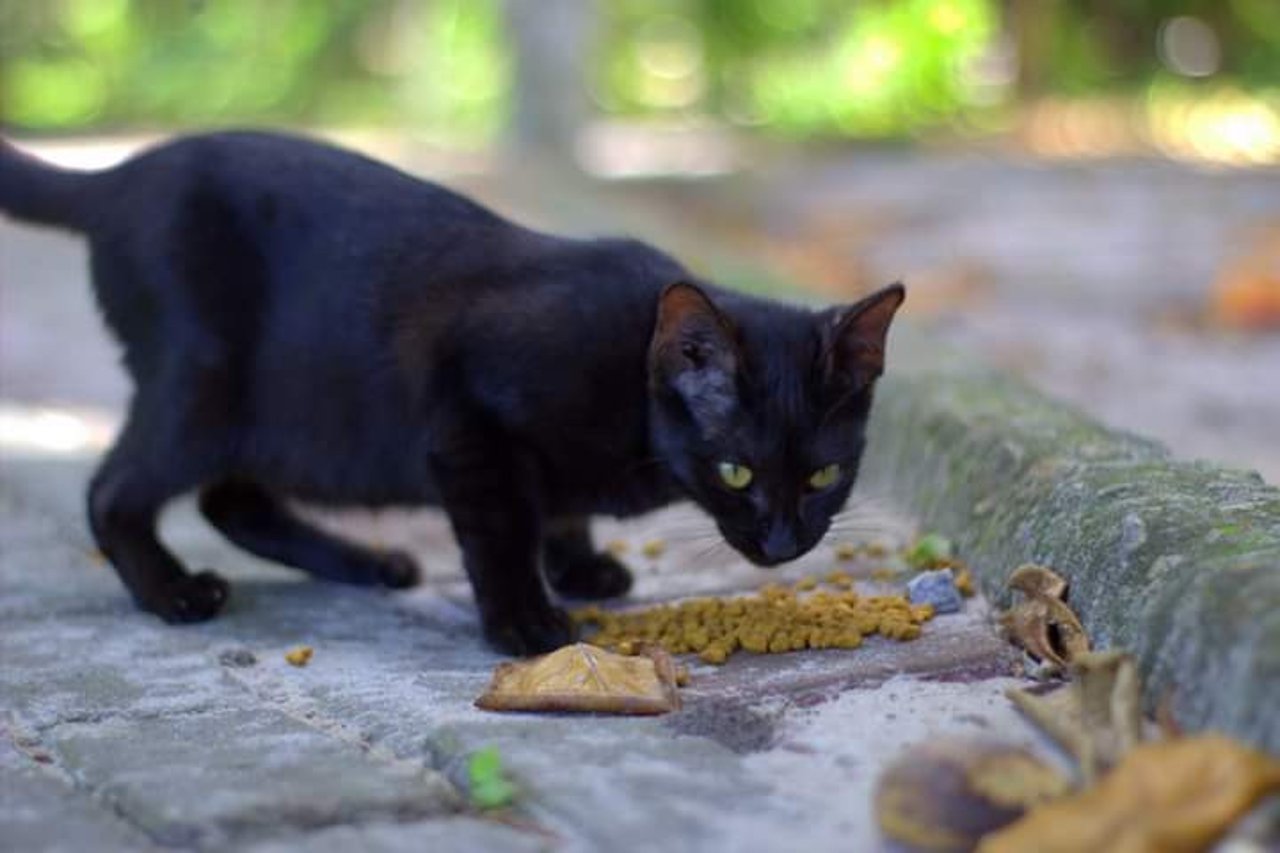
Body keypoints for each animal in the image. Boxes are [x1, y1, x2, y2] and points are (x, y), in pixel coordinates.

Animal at [0, 131, 906, 650]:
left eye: (826, 475)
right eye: (736, 471)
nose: (784, 544)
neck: (629, 384)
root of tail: (118, 175)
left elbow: (556, 509)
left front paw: (578, 565)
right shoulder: (469, 428)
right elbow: (502, 529)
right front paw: (525, 622)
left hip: (287, 418)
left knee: (232, 498)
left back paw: (367, 561)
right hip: (207, 386)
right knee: (116, 489)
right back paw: (173, 592)